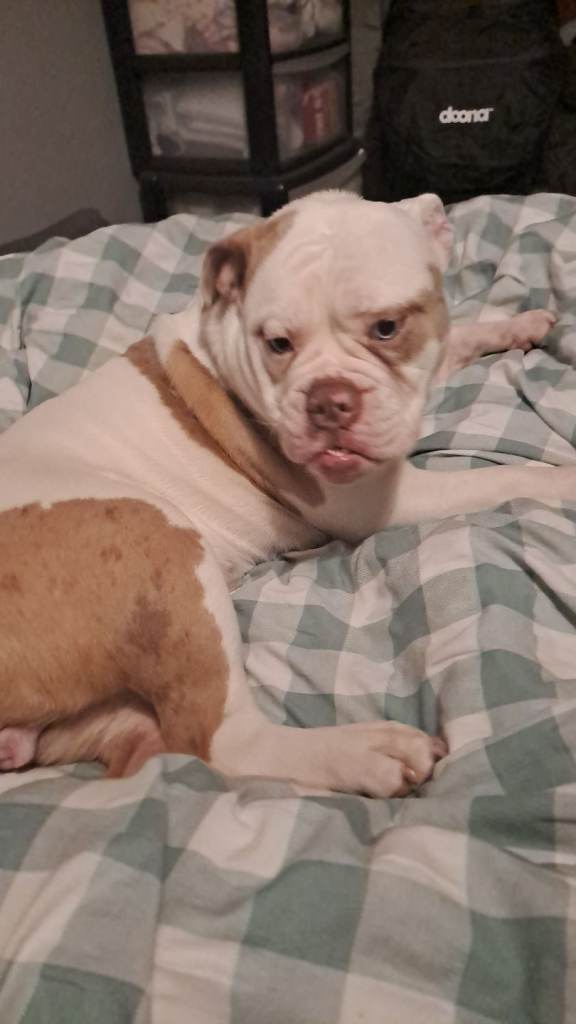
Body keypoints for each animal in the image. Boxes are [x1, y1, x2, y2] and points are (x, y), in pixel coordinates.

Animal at [0, 191, 571, 797]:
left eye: (387, 328)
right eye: (277, 343)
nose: (328, 399)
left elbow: (456, 337)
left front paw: (518, 323)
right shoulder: (382, 503)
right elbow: (506, 477)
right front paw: (566, 478)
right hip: (162, 545)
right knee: (223, 743)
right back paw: (365, 751)